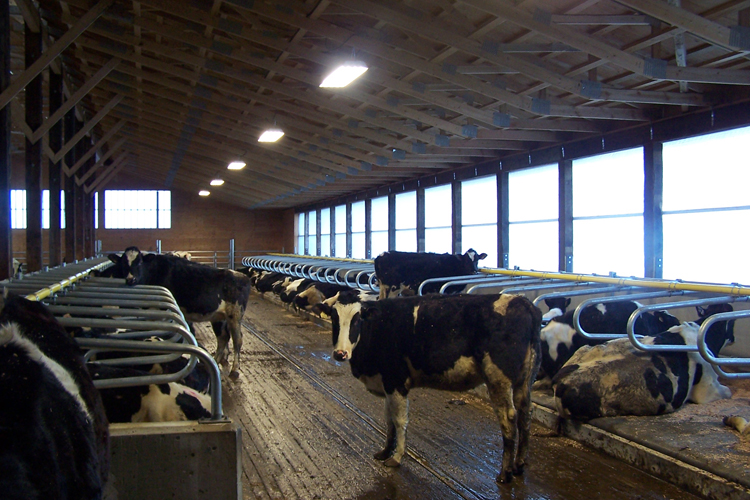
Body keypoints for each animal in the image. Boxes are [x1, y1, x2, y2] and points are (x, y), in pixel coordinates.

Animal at [104, 246, 254, 378]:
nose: (131, 279)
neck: (155, 270)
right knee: (223, 338)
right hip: (218, 317)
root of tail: (243, 276)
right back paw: (215, 362)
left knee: (237, 340)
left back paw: (234, 370)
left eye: (139, 262)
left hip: (235, 315)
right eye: (123, 263)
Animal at [320, 290, 544, 484]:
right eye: (334, 318)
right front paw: (384, 451)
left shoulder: (396, 380)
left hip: (498, 378)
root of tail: (522, 302)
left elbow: (399, 421)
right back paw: (519, 464)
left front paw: (397, 457)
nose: (340, 354)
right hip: (525, 379)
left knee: (509, 418)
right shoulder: (386, 383)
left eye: (357, 319)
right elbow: (389, 420)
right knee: (525, 414)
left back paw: (505, 473)